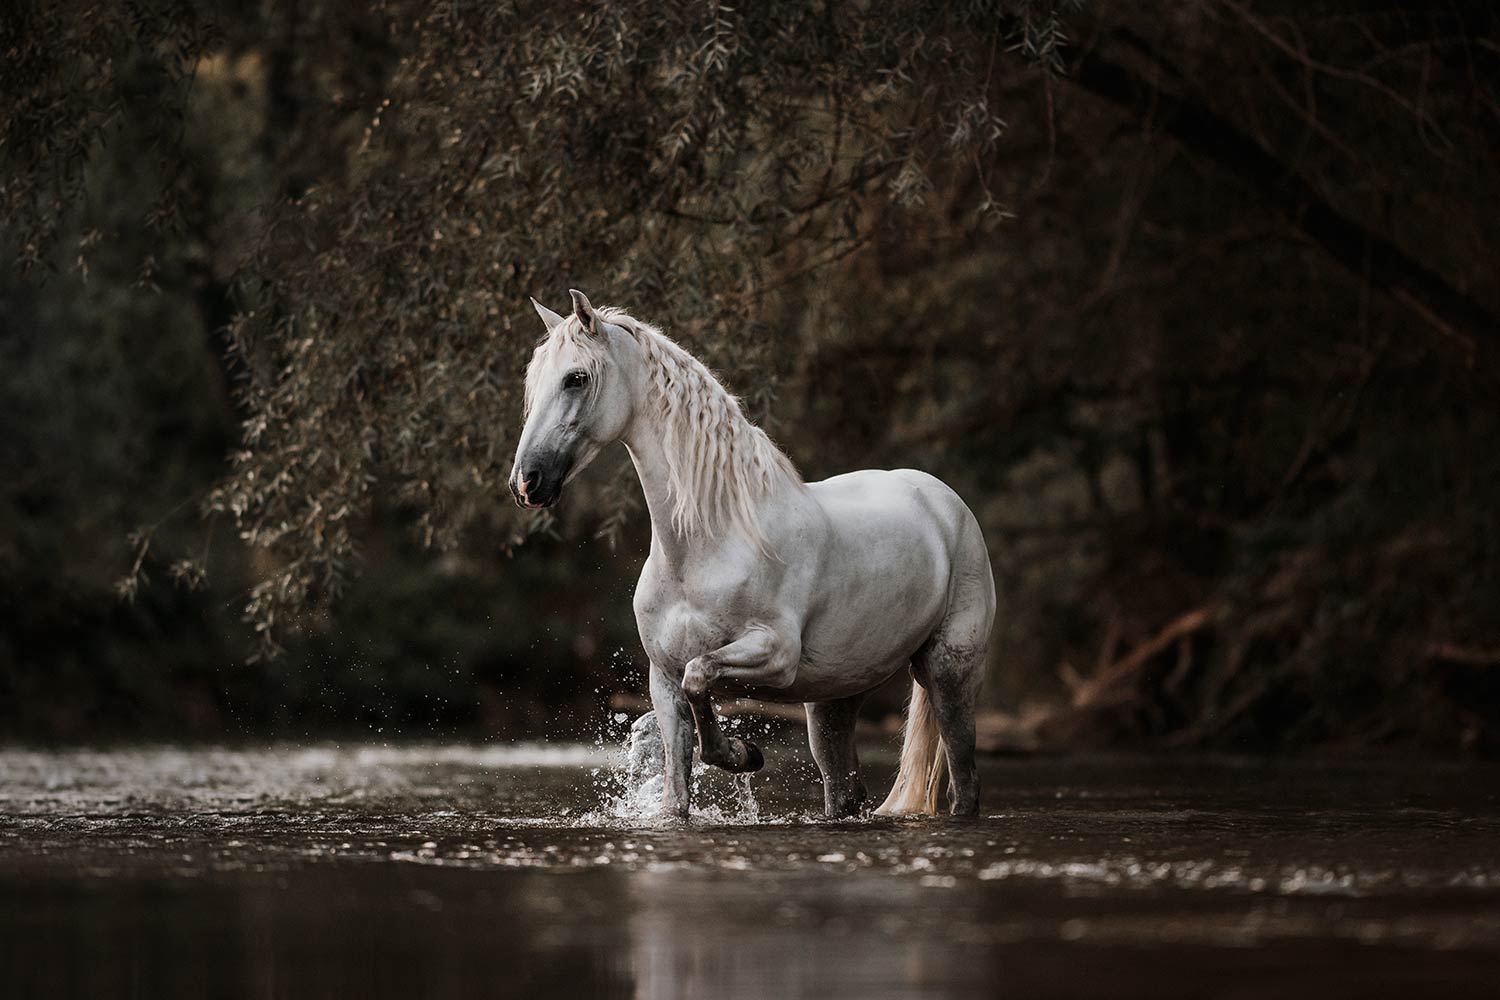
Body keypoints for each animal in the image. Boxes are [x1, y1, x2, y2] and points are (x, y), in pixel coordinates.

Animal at [510, 290, 996, 818]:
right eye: (534, 383)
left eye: (575, 378)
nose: (526, 482)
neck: (706, 547)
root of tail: (943, 501)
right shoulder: (663, 679)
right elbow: (677, 789)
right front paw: (738, 755)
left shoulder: (774, 653)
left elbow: (701, 675)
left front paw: (742, 754)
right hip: (834, 698)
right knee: (844, 791)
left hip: (949, 672)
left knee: (965, 783)